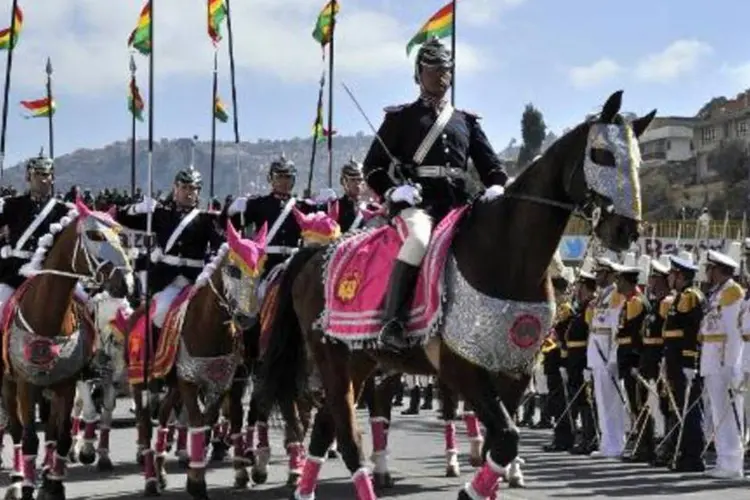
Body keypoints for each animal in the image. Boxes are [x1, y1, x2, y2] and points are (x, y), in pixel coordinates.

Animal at [1, 199, 134, 500]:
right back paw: (16, 480)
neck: (48, 317)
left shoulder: (67, 384)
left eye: (121, 236)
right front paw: (27, 487)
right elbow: (28, 438)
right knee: (15, 430)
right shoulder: (26, 385)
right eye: (95, 235)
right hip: (8, 383)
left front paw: (54, 485)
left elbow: (60, 435)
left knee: (52, 431)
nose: (126, 283)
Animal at [260, 91, 656, 500]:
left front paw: (487, 480)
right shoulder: (460, 367)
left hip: (359, 359)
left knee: (327, 426)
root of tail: (312, 253)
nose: (626, 230)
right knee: (345, 434)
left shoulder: (514, 368)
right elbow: (506, 437)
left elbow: (501, 442)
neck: (505, 254)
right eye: (601, 154)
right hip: (332, 359)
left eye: (637, 160)